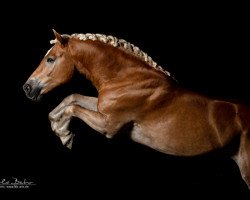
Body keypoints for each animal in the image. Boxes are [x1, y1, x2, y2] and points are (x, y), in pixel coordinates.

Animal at [23, 29, 250, 189]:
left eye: (50, 59)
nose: (27, 87)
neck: (128, 78)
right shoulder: (101, 108)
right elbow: (72, 98)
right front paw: (59, 127)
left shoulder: (108, 125)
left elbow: (73, 109)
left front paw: (65, 134)